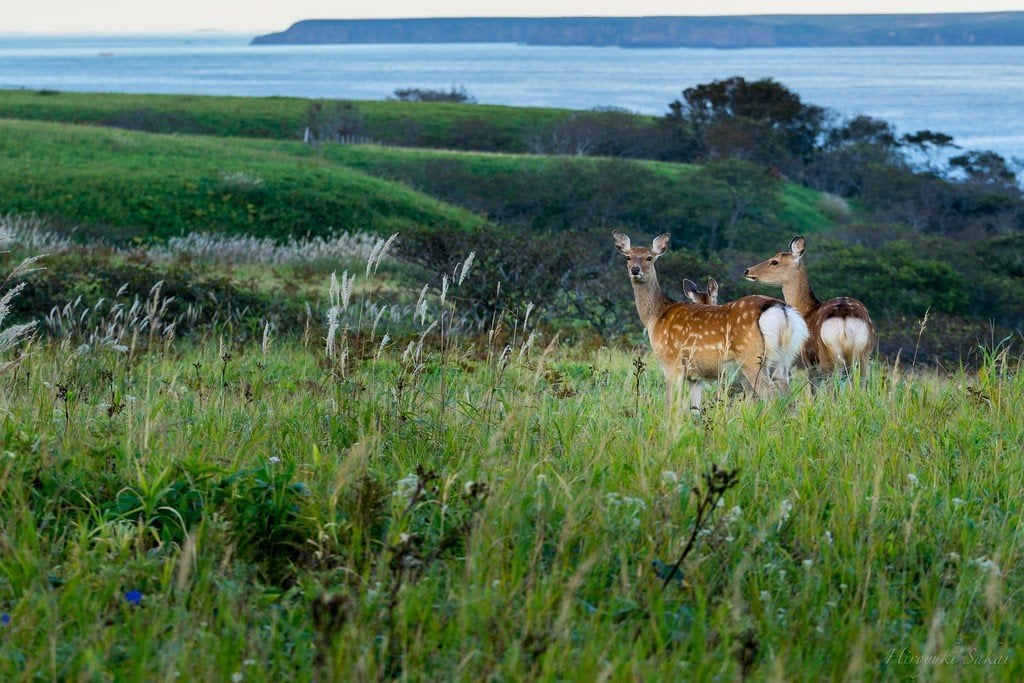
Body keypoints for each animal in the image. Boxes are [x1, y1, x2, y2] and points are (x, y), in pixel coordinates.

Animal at [610, 229, 811, 413]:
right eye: (628, 257)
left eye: (649, 258)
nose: (635, 270)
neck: (656, 317)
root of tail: (781, 310)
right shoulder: (695, 376)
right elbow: (695, 410)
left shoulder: (672, 362)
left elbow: (670, 406)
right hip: (783, 358)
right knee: (789, 398)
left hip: (752, 357)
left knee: (770, 395)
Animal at [741, 236, 876, 385]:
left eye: (774, 261)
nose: (747, 271)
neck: (807, 310)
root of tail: (844, 317)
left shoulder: (808, 360)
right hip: (863, 354)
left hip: (827, 357)